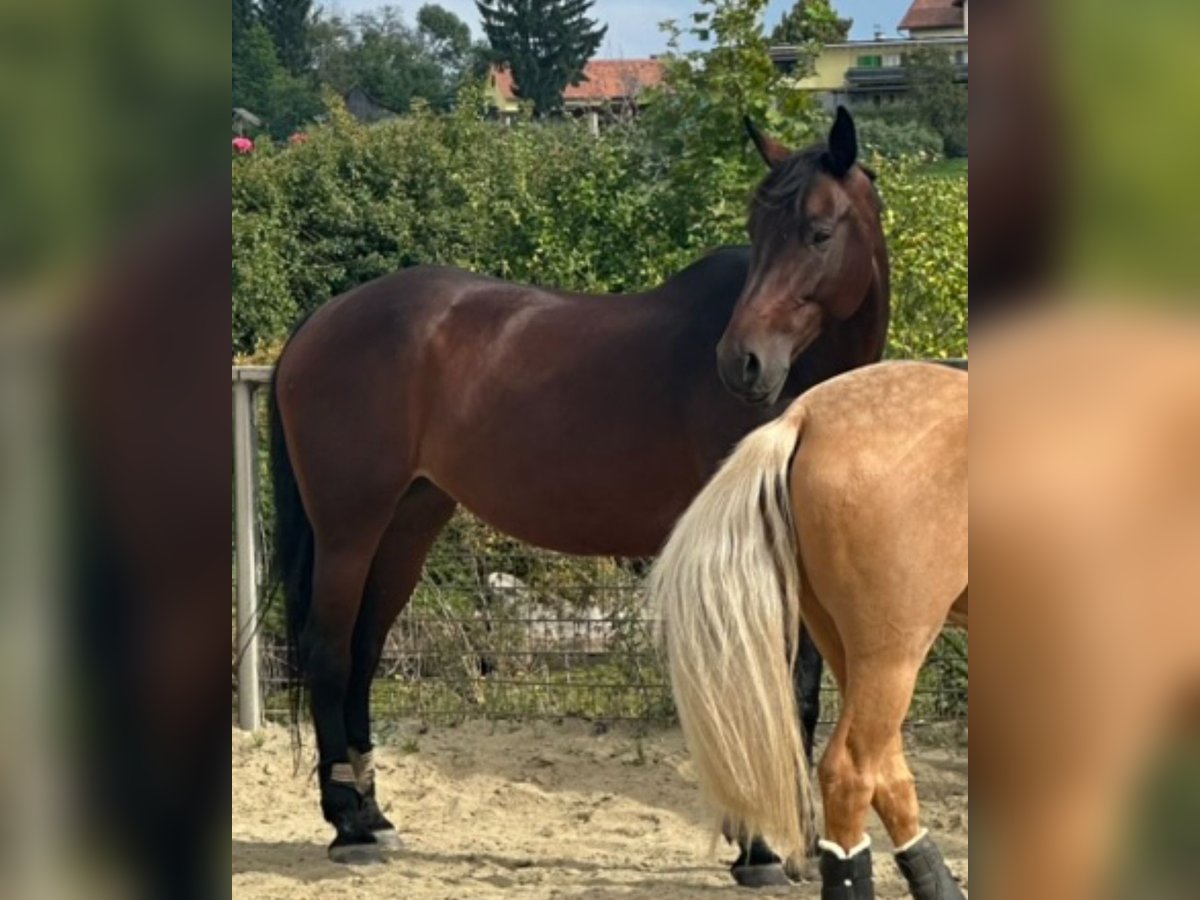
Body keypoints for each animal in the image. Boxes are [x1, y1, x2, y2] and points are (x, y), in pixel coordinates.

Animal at [272, 105, 892, 883]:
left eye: (818, 232)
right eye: (757, 231)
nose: (742, 363)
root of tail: (323, 320)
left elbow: (798, 692)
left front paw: (801, 846)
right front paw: (755, 847)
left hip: (407, 525)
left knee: (362, 652)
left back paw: (374, 815)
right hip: (349, 527)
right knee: (328, 651)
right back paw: (348, 826)